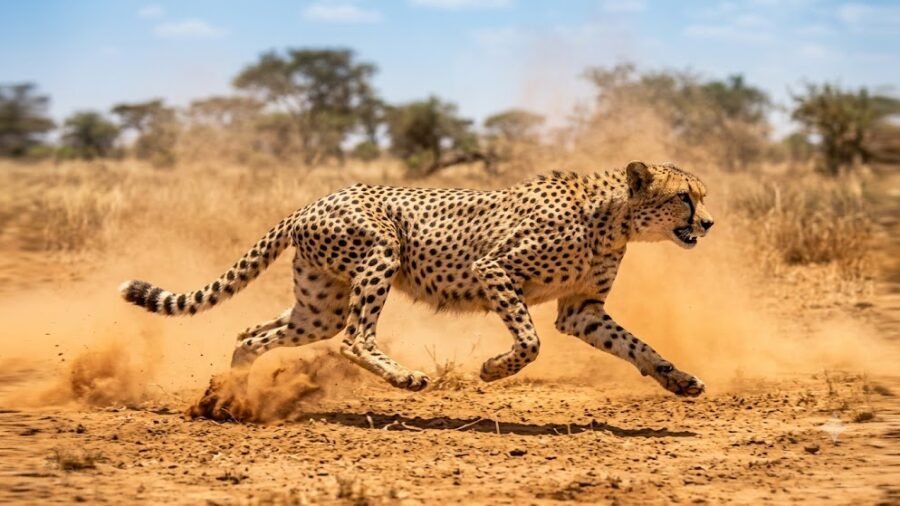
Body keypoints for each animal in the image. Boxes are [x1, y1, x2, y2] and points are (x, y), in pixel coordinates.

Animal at [120, 160, 714, 397]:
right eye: (685, 197)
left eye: (702, 197)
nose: (708, 224)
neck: (614, 217)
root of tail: (314, 199)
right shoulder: (493, 268)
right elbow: (530, 341)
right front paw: (493, 369)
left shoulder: (582, 310)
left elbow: (636, 345)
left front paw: (678, 379)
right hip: (381, 253)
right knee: (354, 338)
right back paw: (404, 377)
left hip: (319, 306)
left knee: (252, 335)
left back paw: (231, 396)